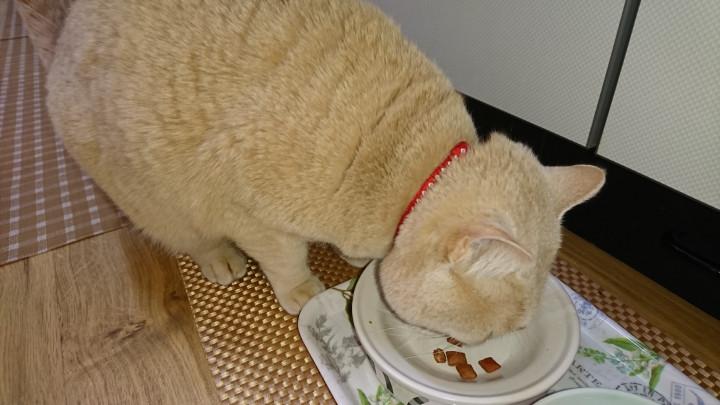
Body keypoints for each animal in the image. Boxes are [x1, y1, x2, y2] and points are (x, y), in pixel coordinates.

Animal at [46, 0, 604, 343]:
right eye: (489, 333)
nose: (465, 345)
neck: (405, 159)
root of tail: (64, 33)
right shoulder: (250, 213)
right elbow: (285, 257)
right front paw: (303, 290)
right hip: (153, 198)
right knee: (190, 236)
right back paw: (220, 259)